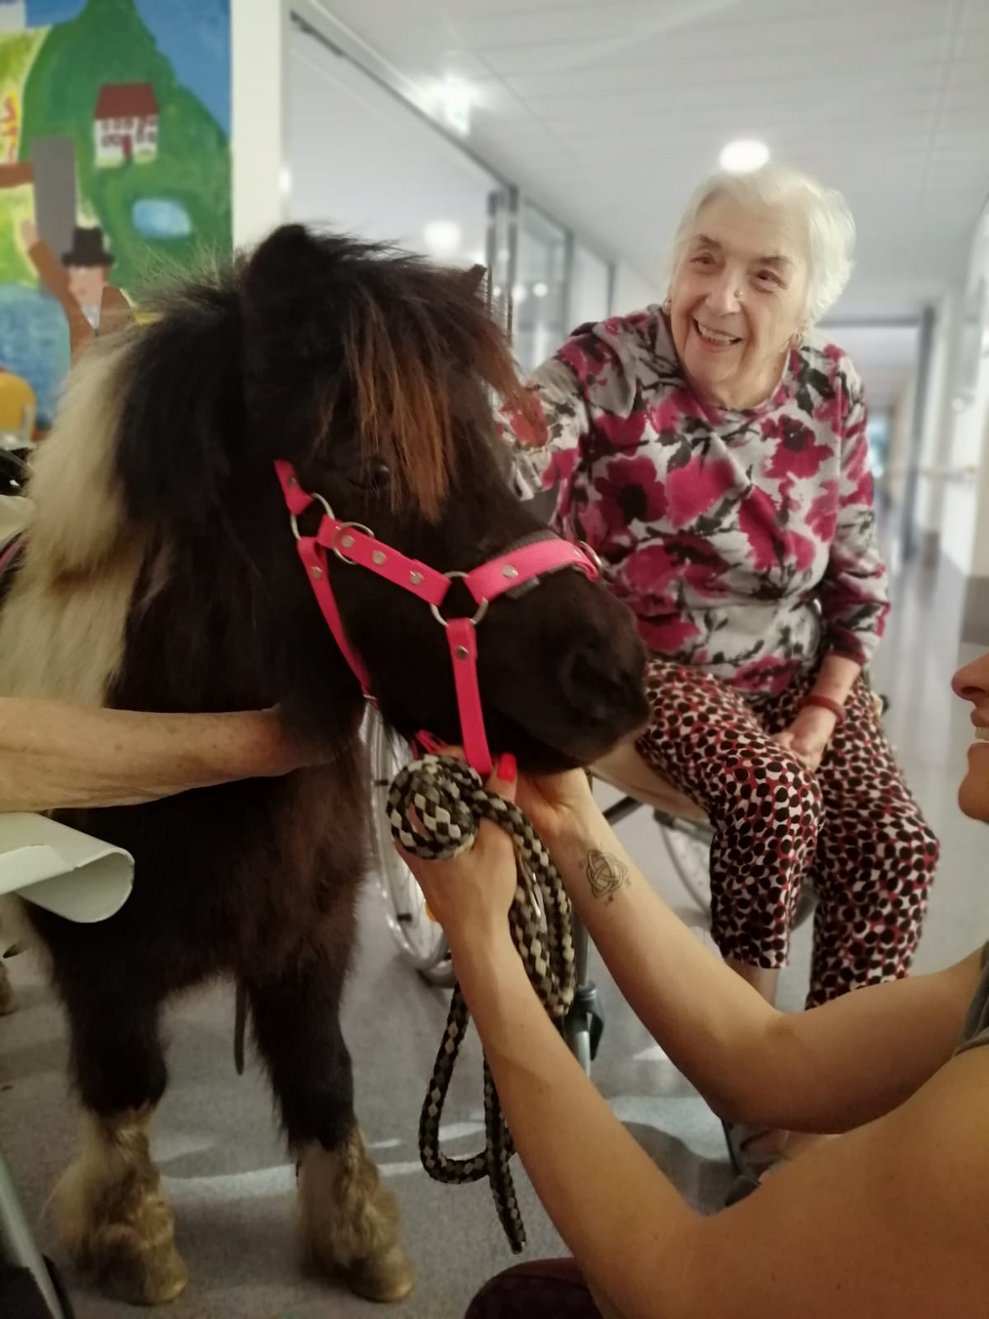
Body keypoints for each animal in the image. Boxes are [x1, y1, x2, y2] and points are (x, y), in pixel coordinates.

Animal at [0, 225, 648, 1307]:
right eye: (375, 468)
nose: (616, 675)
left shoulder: (309, 933)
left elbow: (320, 1071)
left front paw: (357, 1233)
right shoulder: (101, 961)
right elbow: (127, 1084)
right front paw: (132, 1237)